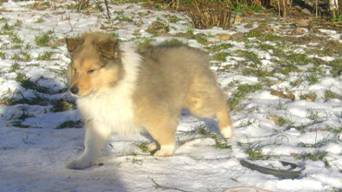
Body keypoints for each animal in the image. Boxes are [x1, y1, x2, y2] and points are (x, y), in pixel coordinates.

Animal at [66, 32, 234, 169]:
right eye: (74, 69)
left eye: (91, 70)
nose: (73, 90)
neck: (112, 84)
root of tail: (198, 53)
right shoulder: (99, 119)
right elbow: (90, 145)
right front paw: (81, 162)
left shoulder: (155, 112)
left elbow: (163, 131)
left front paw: (166, 151)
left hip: (197, 102)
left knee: (222, 102)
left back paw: (227, 131)